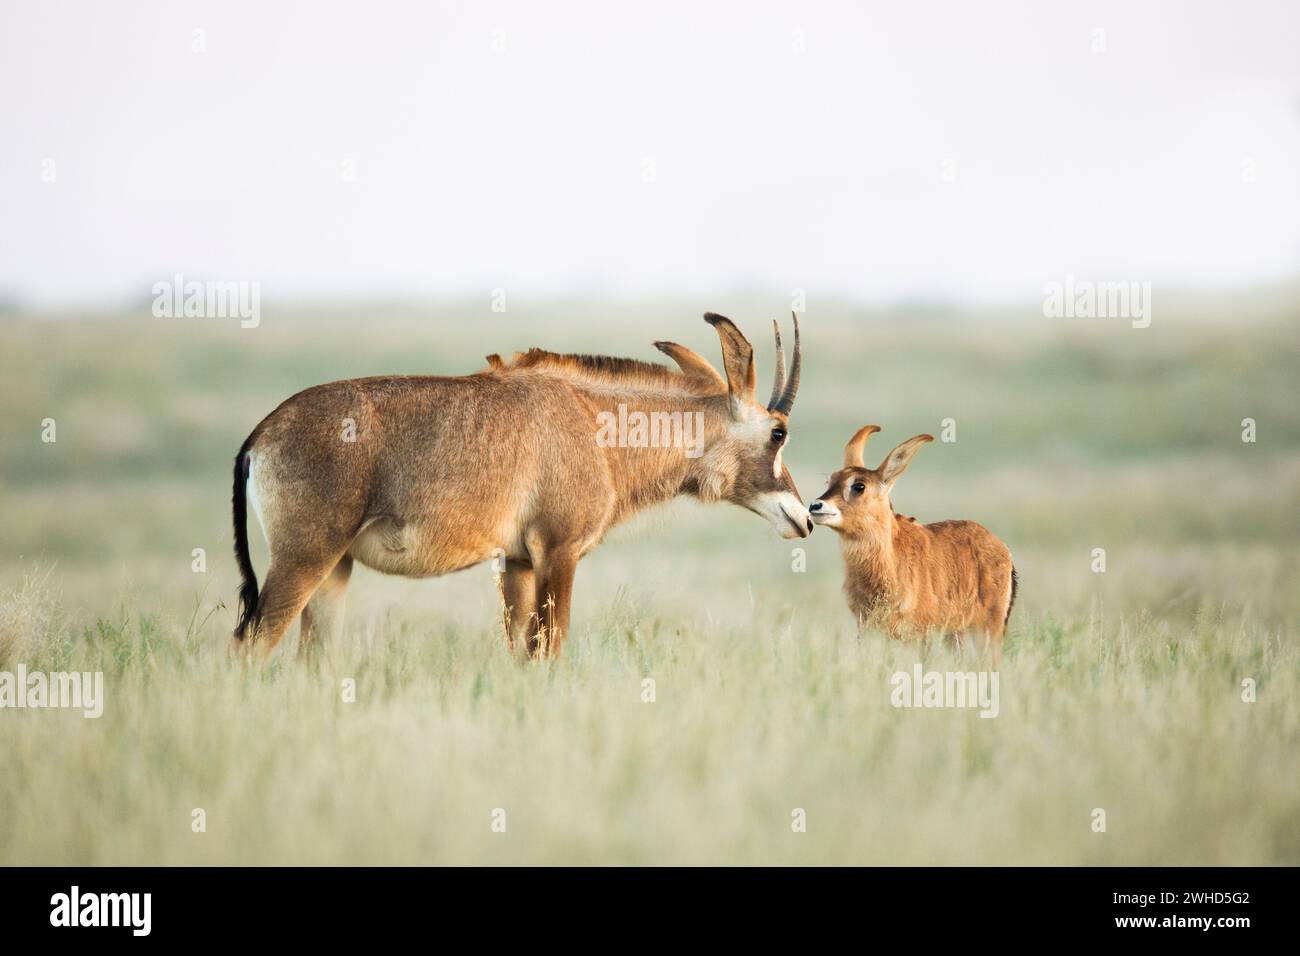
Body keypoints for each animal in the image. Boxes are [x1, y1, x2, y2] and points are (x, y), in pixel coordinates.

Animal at [228, 310, 806, 660]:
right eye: (778, 432)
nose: (803, 517)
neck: (593, 421)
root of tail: (260, 435)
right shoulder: (558, 551)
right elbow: (549, 651)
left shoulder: (518, 563)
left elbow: (522, 656)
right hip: (305, 557)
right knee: (249, 646)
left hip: (336, 569)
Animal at [811, 426, 1013, 650]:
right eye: (829, 481)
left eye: (859, 486)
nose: (815, 506)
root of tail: (1002, 547)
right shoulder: (867, 627)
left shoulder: (920, 633)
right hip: (955, 633)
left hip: (986, 628)